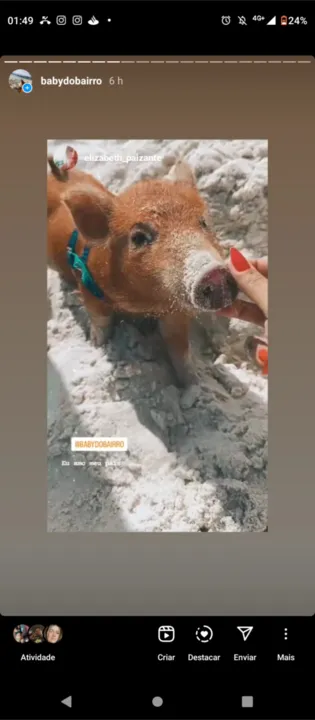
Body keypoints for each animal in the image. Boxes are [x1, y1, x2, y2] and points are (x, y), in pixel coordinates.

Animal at [47, 155, 239, 386]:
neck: (145, 304)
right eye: (138, 237)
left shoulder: (174, 310)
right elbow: (100, 321)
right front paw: (97, 345)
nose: (213, 273)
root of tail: (58, 173)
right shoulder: (88, 285)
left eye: (203, 222)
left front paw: (194, 383)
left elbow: (180, 347)